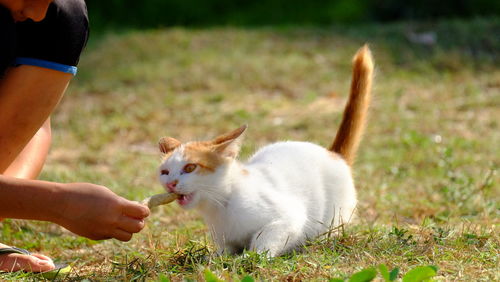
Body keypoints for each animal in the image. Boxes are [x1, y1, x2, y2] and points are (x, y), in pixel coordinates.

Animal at [158, 45, 374, 256]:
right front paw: (213, 258)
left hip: (334, 215)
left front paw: (249, 257)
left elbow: (264, 240)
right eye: (164, 172)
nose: (170, 183)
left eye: (190, 167)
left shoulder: (288, 218)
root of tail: (334, 154)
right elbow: (224, 250)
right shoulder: (224, 238)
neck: (220, 204)